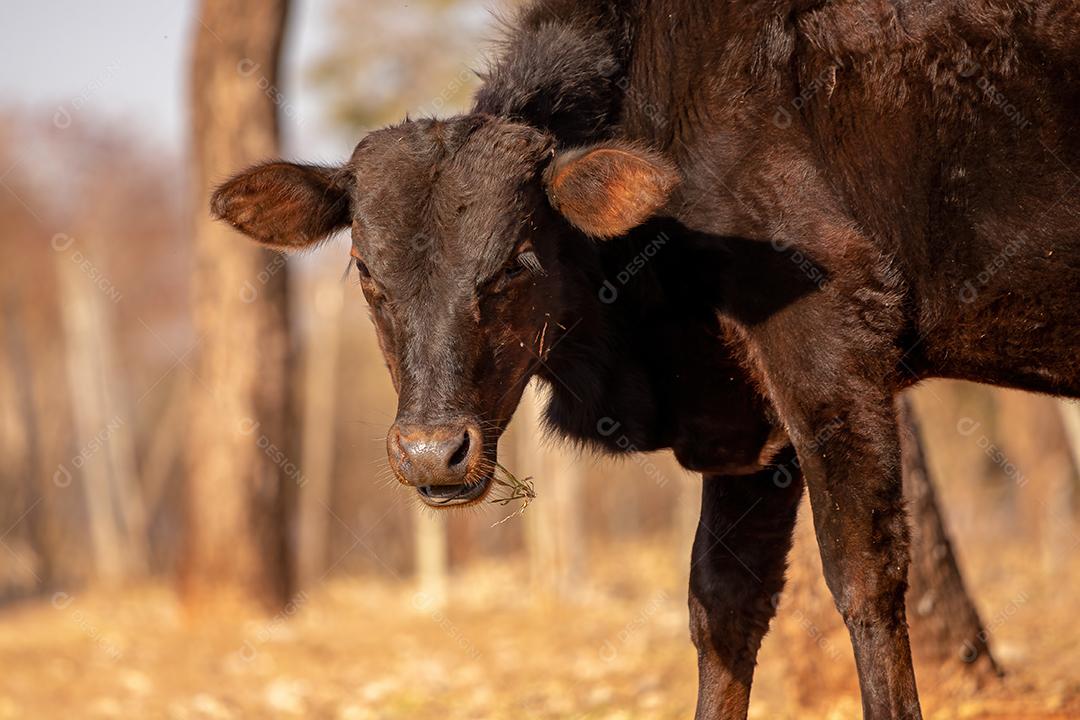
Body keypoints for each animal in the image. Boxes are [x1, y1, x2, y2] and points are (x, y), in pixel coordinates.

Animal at [210, 1, 1080, 717]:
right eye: (365, 268)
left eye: (518, 260)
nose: (432, 451)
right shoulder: (744, 422)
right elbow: (723, 604)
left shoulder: (831, 342)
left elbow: (864, 574)